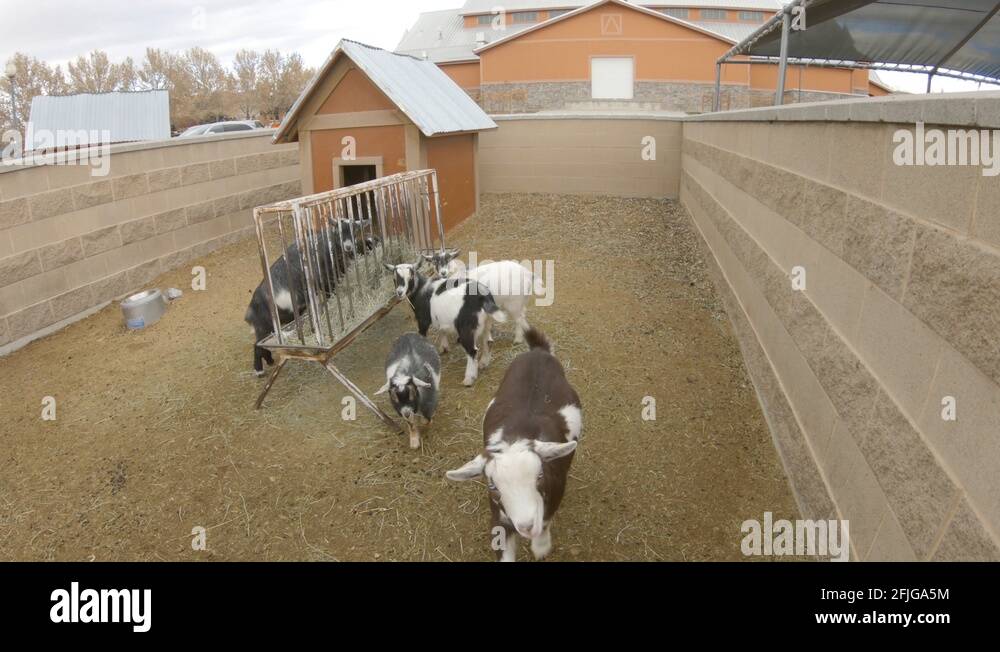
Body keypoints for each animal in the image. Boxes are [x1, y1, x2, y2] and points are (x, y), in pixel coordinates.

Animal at [446, 328, 581, 561]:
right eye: (492, 485)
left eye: (540, 476)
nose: (527, 526)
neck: (517, 435)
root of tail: (538, 351)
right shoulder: (499, 518)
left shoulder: (554, 495)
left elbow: (545, 524)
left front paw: (541, 546)